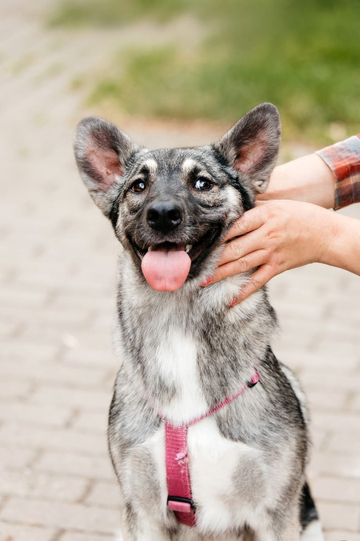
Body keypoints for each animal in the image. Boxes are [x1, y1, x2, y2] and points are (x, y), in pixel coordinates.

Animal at [74, 103, 324, 536]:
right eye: (138, 186)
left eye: (202, 183)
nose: (162, 215)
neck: (180, 320)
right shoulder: (143, 513)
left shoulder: (276, 514)